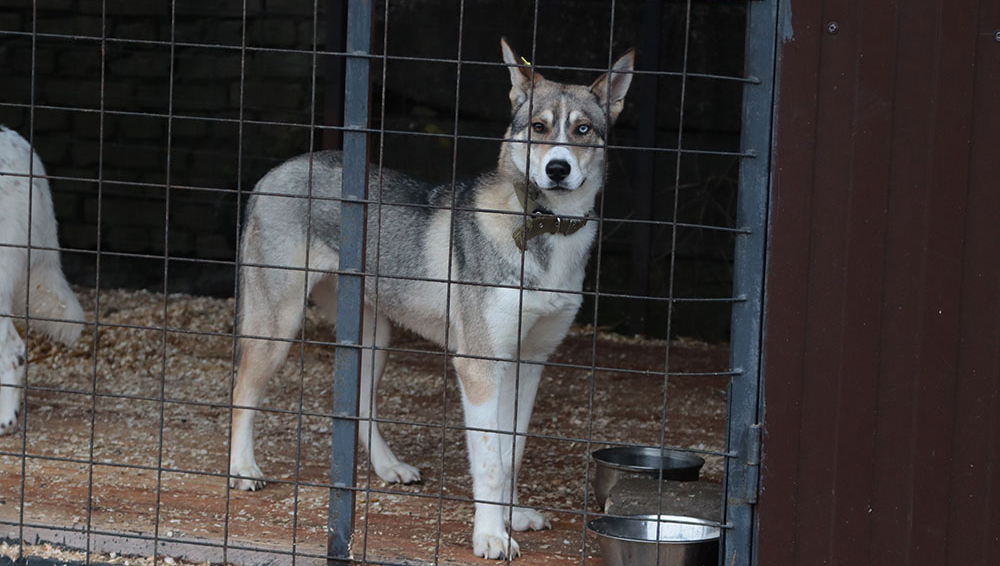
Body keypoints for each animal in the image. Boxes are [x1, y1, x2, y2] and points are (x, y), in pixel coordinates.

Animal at [228, 37, 632, 560]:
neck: (544, 230)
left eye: (583, 129)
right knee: (241, 394)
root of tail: (274, 173)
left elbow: (511, 453)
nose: (557, 169)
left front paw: (511, 517)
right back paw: (243, 470)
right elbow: (490, 463)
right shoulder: (479, 367)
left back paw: (389, 468)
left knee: (359, 405)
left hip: (374, 339)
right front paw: (490, 536)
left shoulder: (527, 364)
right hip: (276, 328)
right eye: (538, 128)